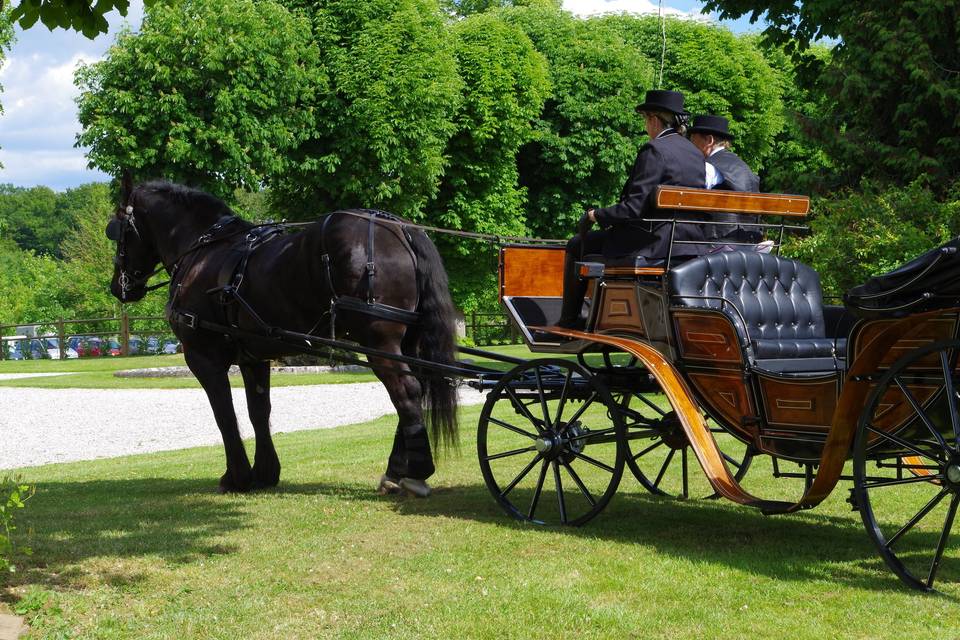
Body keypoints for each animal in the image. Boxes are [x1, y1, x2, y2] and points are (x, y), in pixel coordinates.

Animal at [107, 180, 460, 496]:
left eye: (119, 229)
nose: (118, 286)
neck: (204, 252)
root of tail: (398, 227)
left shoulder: (203, 356)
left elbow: (225, 414)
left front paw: (236, 477)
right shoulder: (253, 357)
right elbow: (258, 410)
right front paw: (265, 473)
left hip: (380, 342)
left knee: (406, 392)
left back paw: (415, 472)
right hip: (407, 343)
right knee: (417, 388)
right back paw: (397, 470)